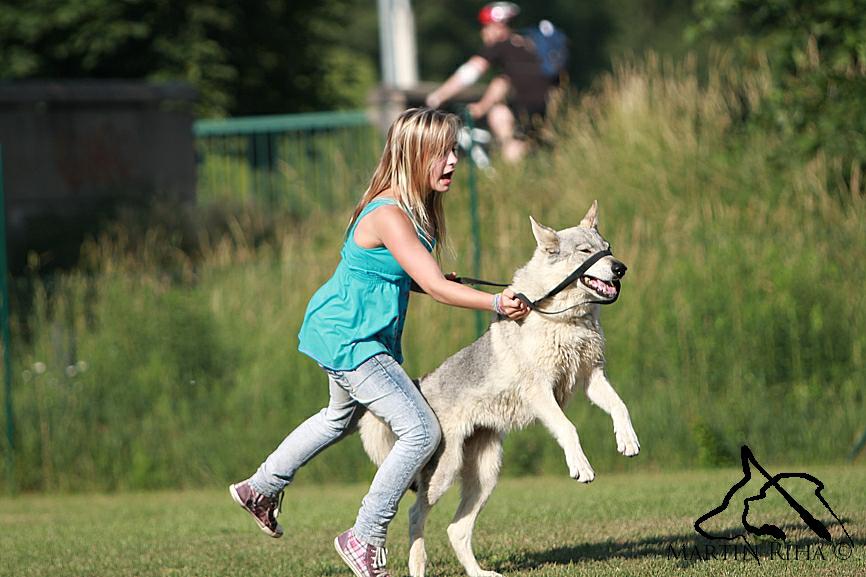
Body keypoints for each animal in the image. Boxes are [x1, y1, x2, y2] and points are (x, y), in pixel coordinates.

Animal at [354, 200, 636, 572]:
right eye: (585, 252)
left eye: (608, 248)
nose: (621, 268)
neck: (565, 317)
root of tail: (420, 385)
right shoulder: (540, 391)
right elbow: (569, 429)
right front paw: (581, 467)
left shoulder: (591, 377)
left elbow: (620, 406)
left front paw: (627, 441)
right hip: (445, 474)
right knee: (415, 516)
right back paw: (417, 568)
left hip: (486, 476)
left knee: (456, 530)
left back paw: (480, 573)